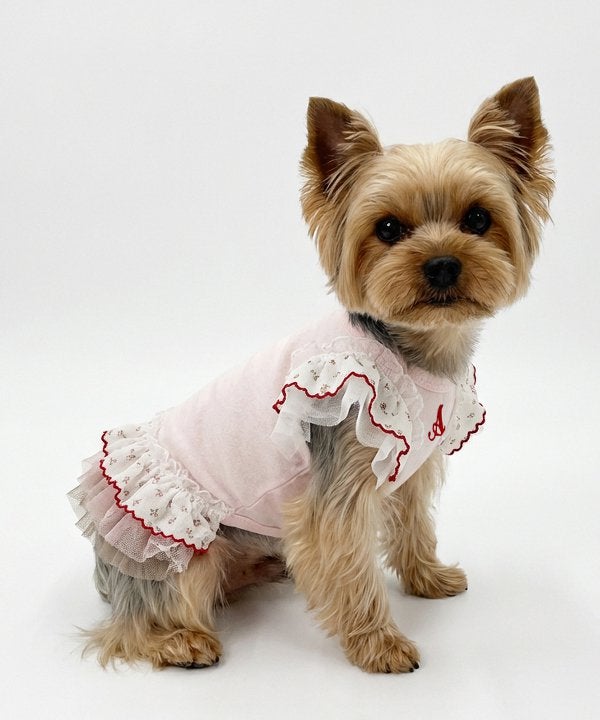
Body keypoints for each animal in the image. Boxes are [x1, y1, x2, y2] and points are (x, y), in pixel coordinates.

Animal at [70, 77, 553, 673]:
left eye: (479, 220)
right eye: (387, 228)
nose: (441, 264)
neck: (410, 350)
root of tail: (103, 572)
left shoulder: (411, 466)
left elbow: (414, 523)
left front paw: (427, 578)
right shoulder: (339, 473)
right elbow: (349, 564)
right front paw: (378, 643)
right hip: (179, 545)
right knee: (132, 622)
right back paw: (180, 641)